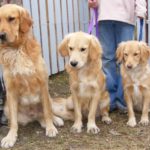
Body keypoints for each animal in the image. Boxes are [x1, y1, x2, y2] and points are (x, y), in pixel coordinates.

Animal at [0, 4, 63, 148]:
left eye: (11, 18)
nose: (1, 36)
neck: (17, 49)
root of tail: (33, 115)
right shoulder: (10, 91)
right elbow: (13, 123)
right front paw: (10, 137)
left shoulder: (43, 84)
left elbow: (47, 111)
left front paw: (51, 128)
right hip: (6, 108)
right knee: (34, 118)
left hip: (48, 97)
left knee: (47, 112)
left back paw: (55, 120)